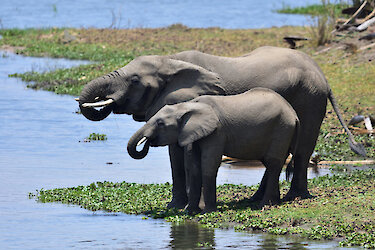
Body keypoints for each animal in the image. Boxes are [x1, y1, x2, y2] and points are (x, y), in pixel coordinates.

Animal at [128, 88, 302, 213]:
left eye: (160, 123)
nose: (148, 141)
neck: (188, 105)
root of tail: (294, 114)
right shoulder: (193, 132)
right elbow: (194, 166)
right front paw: (189, 211)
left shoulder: (217, 132)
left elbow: (209, 164)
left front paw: (208, 211)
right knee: (273, 163)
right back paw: (273, 202)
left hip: (282, 128)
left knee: (273, 163)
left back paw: (265, 205)